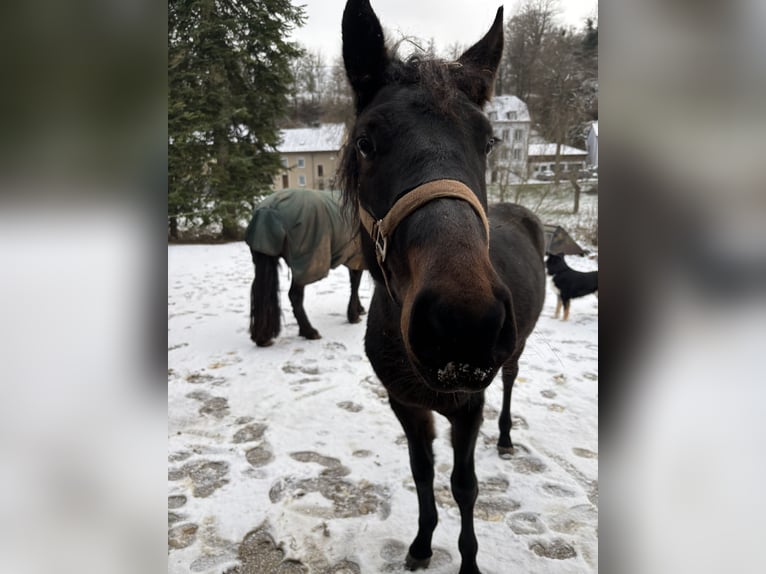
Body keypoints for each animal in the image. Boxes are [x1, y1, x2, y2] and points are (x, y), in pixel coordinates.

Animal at [244, 188, 365, 347]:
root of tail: (268, 210)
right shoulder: (357, 256)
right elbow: (355, 284)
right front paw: (354, 315)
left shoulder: (355, 257)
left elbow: (354, 283)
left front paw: (359, 309)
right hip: (304, 264)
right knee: (294, 296)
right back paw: (309, 331)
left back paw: (263, 337)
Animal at [339, 1, 546, 572]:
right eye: (366, 142)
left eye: (489, 141)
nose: (463, 325)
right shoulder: (406, 406)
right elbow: (423, 473)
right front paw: (421, 543)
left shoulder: (467, 407)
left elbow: (464, 485)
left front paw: (468, 561)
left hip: (515, 353)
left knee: (511, 382)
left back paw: (506, 437)